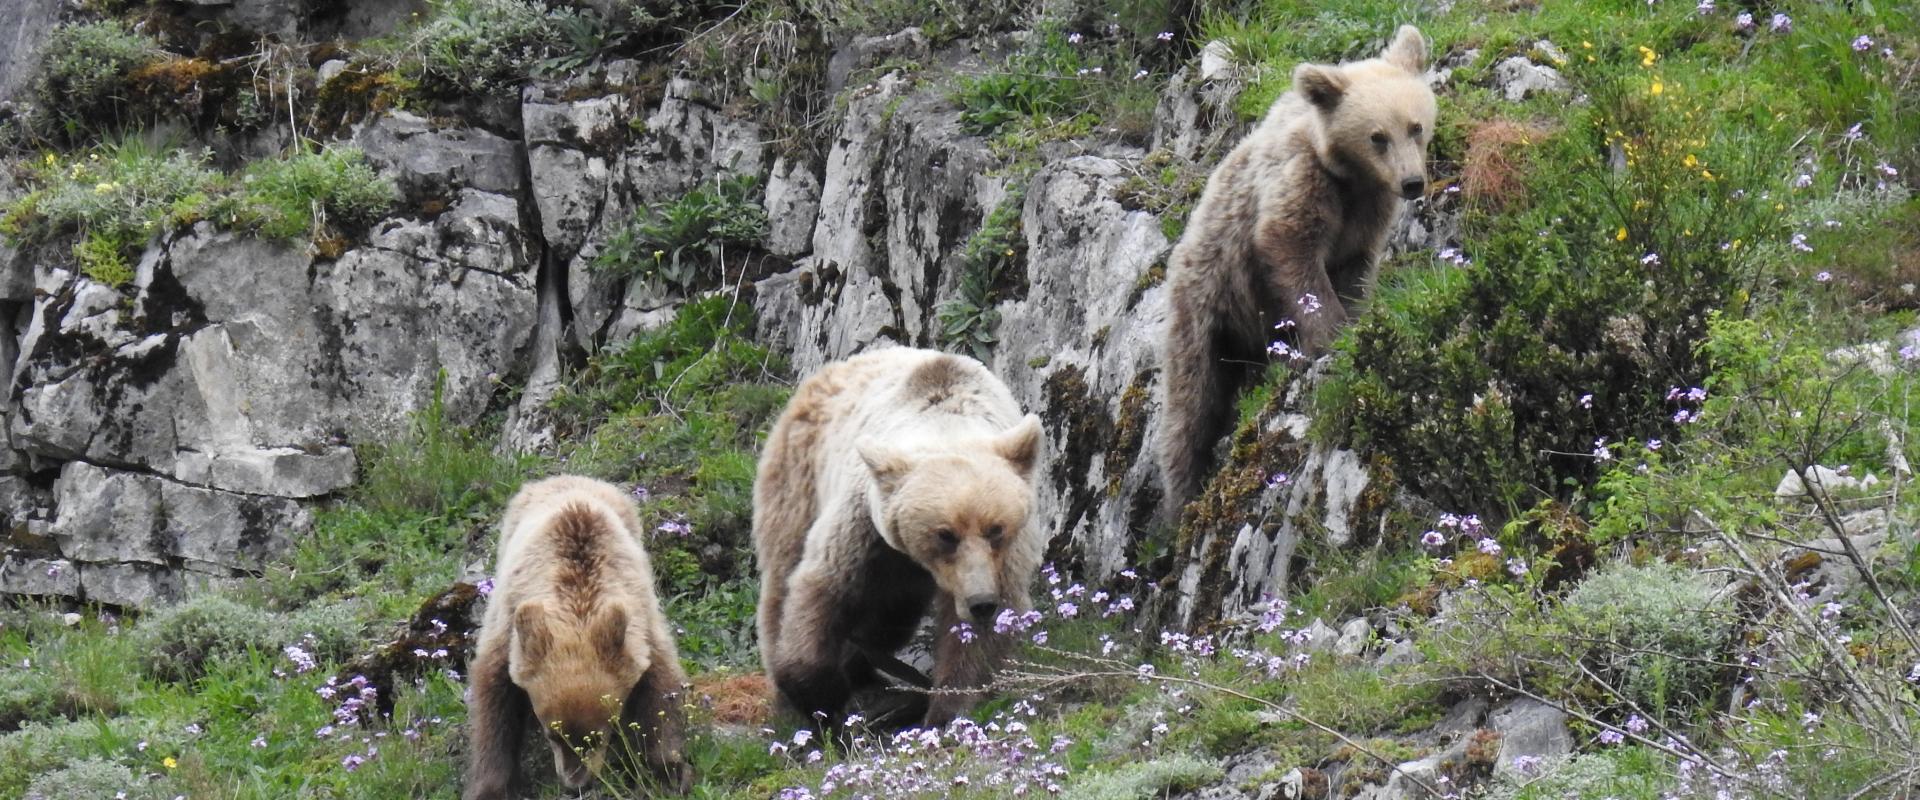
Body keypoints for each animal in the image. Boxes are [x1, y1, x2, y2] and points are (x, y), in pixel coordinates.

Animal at [462, 477, 691, 794]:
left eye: (597, 735)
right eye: (553, 734)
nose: (575, 783)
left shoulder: (639, 619)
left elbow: (661, 685)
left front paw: (670, 771)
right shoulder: (510, 624)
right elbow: (494, 698)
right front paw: (490, 787)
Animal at [752, 345, 1052, 725]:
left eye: (996, 529)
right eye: (945, 534)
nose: (981, 601)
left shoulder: (1004, 558)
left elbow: (981, 636)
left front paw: (946, 712)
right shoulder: (865, 527)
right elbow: (823, 589)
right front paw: (817, 695)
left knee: (890, 617)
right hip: (798, 473)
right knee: (782, 575)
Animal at [1152, 28, 1443, 506]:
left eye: (1415, 126)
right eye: (1377, 136)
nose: (1413, 182)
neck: (1348, 176)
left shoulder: (1366, 215)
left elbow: (1355, 271)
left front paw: (1355, 321)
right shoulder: (1300, 183)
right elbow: (1291, 251)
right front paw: (1331, 335)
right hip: (1203, 307)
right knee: (1190, 407)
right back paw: (1183, 494)